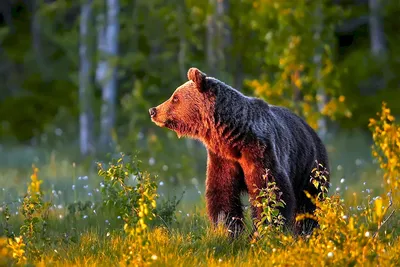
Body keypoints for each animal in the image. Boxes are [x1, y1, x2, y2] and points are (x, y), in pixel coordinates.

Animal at [148, 67, 330, 237]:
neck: (233, 138)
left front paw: (262, 232)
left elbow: (270, 192)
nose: (153, 110)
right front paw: (227, 229)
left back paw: (306, 230)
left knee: (310, 201)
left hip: (310, 166)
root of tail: (312, 131)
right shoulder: (222, 157)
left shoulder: (260, 152)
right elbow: (222, 192)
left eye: (175, 97)